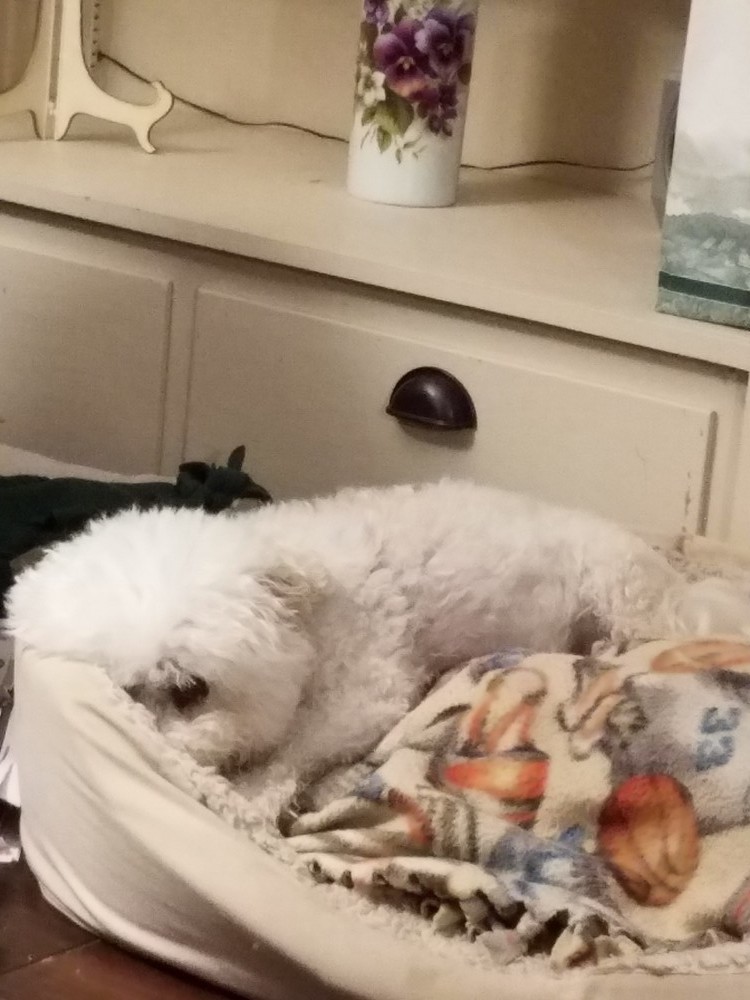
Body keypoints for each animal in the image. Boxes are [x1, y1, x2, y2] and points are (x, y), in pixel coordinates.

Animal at [6, 480, 750, 777]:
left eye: (191, 689)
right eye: (124, 691)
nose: (156, 745)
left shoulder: (362, 695)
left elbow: (286, 761)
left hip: (622, 590)